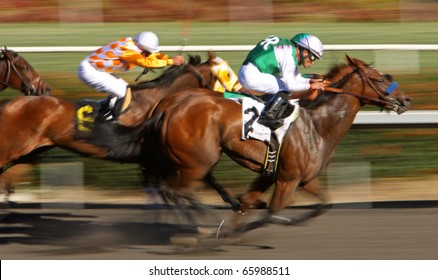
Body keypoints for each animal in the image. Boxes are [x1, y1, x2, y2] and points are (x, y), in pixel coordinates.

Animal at [133, 53, 410, 233]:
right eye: (380, 79)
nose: (406, 100)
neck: (318, 125)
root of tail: (167, 106)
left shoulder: (295, 177)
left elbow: (322, 203)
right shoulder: (288, 179)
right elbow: (272, 211)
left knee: (168, 186)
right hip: (197, 161)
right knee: (173, 188)